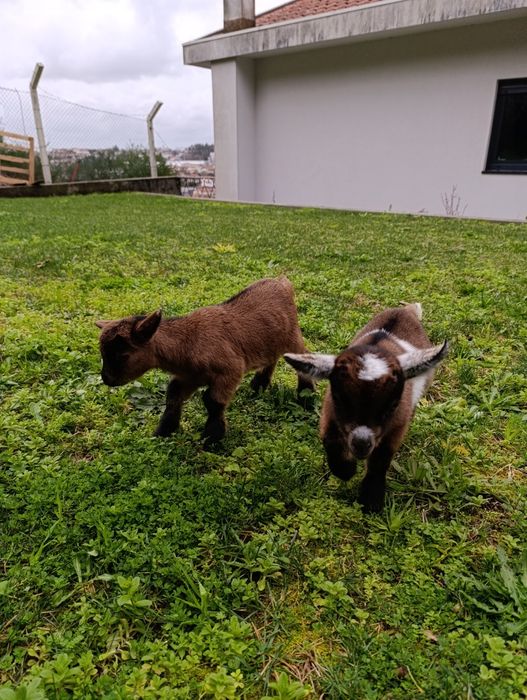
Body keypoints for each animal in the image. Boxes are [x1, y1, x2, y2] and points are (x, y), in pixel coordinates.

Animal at [96, 277, 315, 445]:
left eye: (122, 355)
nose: (107, 379)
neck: (190, 342)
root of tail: (282, 281)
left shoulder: (230, 370)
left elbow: (212, 401)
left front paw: (211, 439)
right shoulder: (190, 377)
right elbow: (173, 396)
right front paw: (163, 433)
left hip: (292, 336)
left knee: (303, 357)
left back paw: (306, 399)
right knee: (272, 358)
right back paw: (258, 387)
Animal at [284, 304, 448, 512]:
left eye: (392, 405)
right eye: (339, 398)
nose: (361, 445)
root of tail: (406, 310)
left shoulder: (397, 424)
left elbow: (381, 458)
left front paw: (371, 500)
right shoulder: (330, 412)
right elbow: (330, 441)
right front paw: (346, 470)